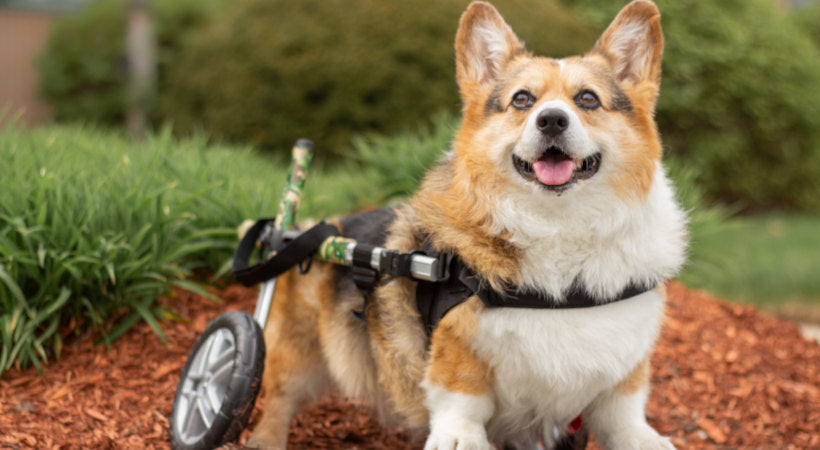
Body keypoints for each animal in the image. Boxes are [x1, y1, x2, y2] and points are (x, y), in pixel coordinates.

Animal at [248, 1, 684, 448]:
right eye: (522, 99)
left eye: (588, 99)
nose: (551, 120)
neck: (560, 224)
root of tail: (309, 229)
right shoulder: (456, 342)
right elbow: (462, 396)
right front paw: (459, 438)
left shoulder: (626, 360)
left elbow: (623, 411)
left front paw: (642, 438)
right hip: (298, 355)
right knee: (278, 397)